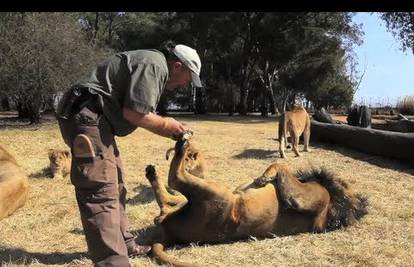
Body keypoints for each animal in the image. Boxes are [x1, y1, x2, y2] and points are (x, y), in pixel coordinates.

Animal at [144, 133, 368, 266]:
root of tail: (168, 233)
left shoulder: (303, 196)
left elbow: (281, 165)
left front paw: (264, 177)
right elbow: (281, 165)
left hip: (217, 193)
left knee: (175, 178)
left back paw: (182, 145)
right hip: (192, 199)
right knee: (168, 199)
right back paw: (153, 171)